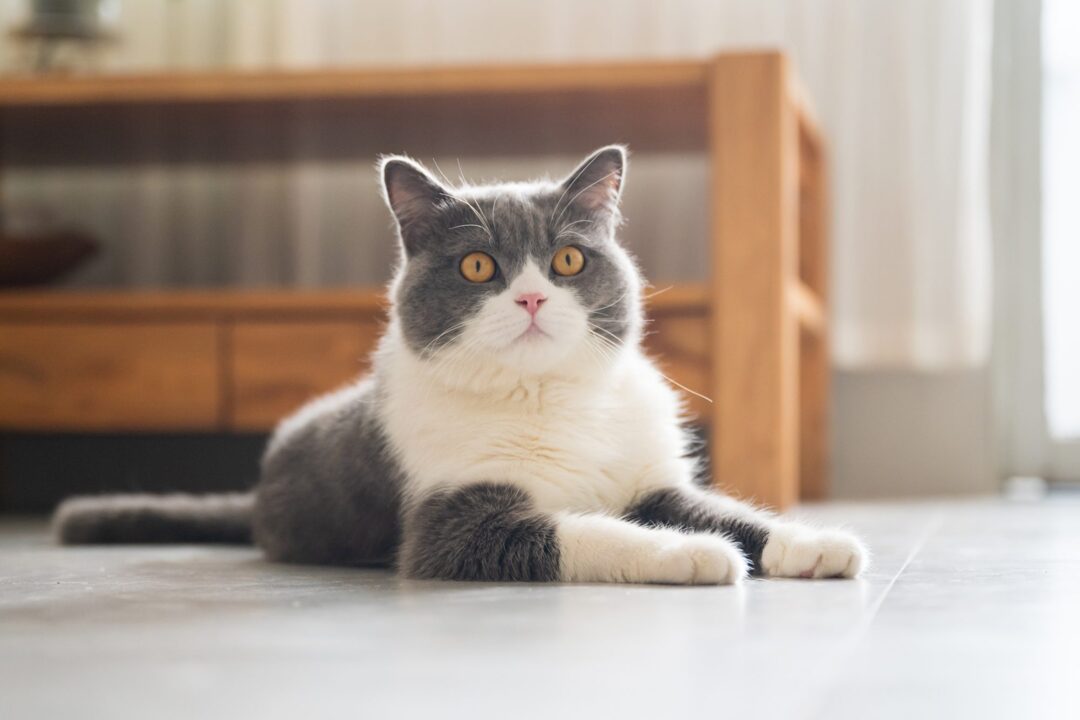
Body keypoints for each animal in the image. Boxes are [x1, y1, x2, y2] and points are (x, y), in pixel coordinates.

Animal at [56, 147, 868, 587]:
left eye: (569, 260)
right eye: (478, 265)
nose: (533, 295)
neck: (546, 398)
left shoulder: (644, 476)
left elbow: (721, 509)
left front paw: (811, 543)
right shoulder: (450, 519)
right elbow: (576, 533)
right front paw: (691, 553)